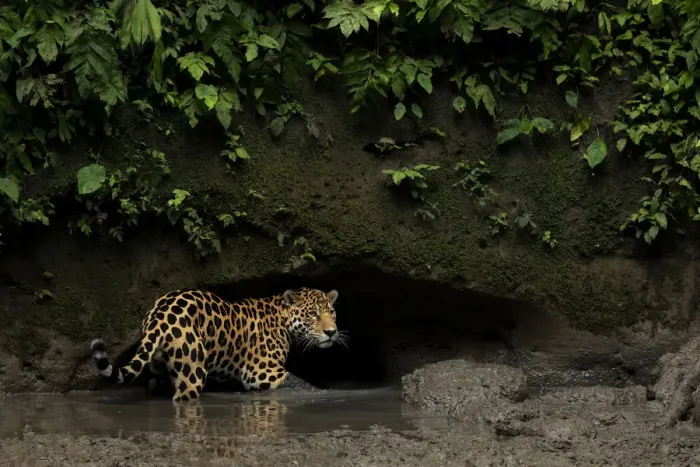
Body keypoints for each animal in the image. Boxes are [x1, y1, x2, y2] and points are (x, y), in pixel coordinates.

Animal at [90, 287, 345, 401]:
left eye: (332, 313)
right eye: (313, 314)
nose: (331, 332)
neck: (281, 319)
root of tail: (159, 314)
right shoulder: (261, 372)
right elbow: (297, 382)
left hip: (159, 366)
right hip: (192, 372)